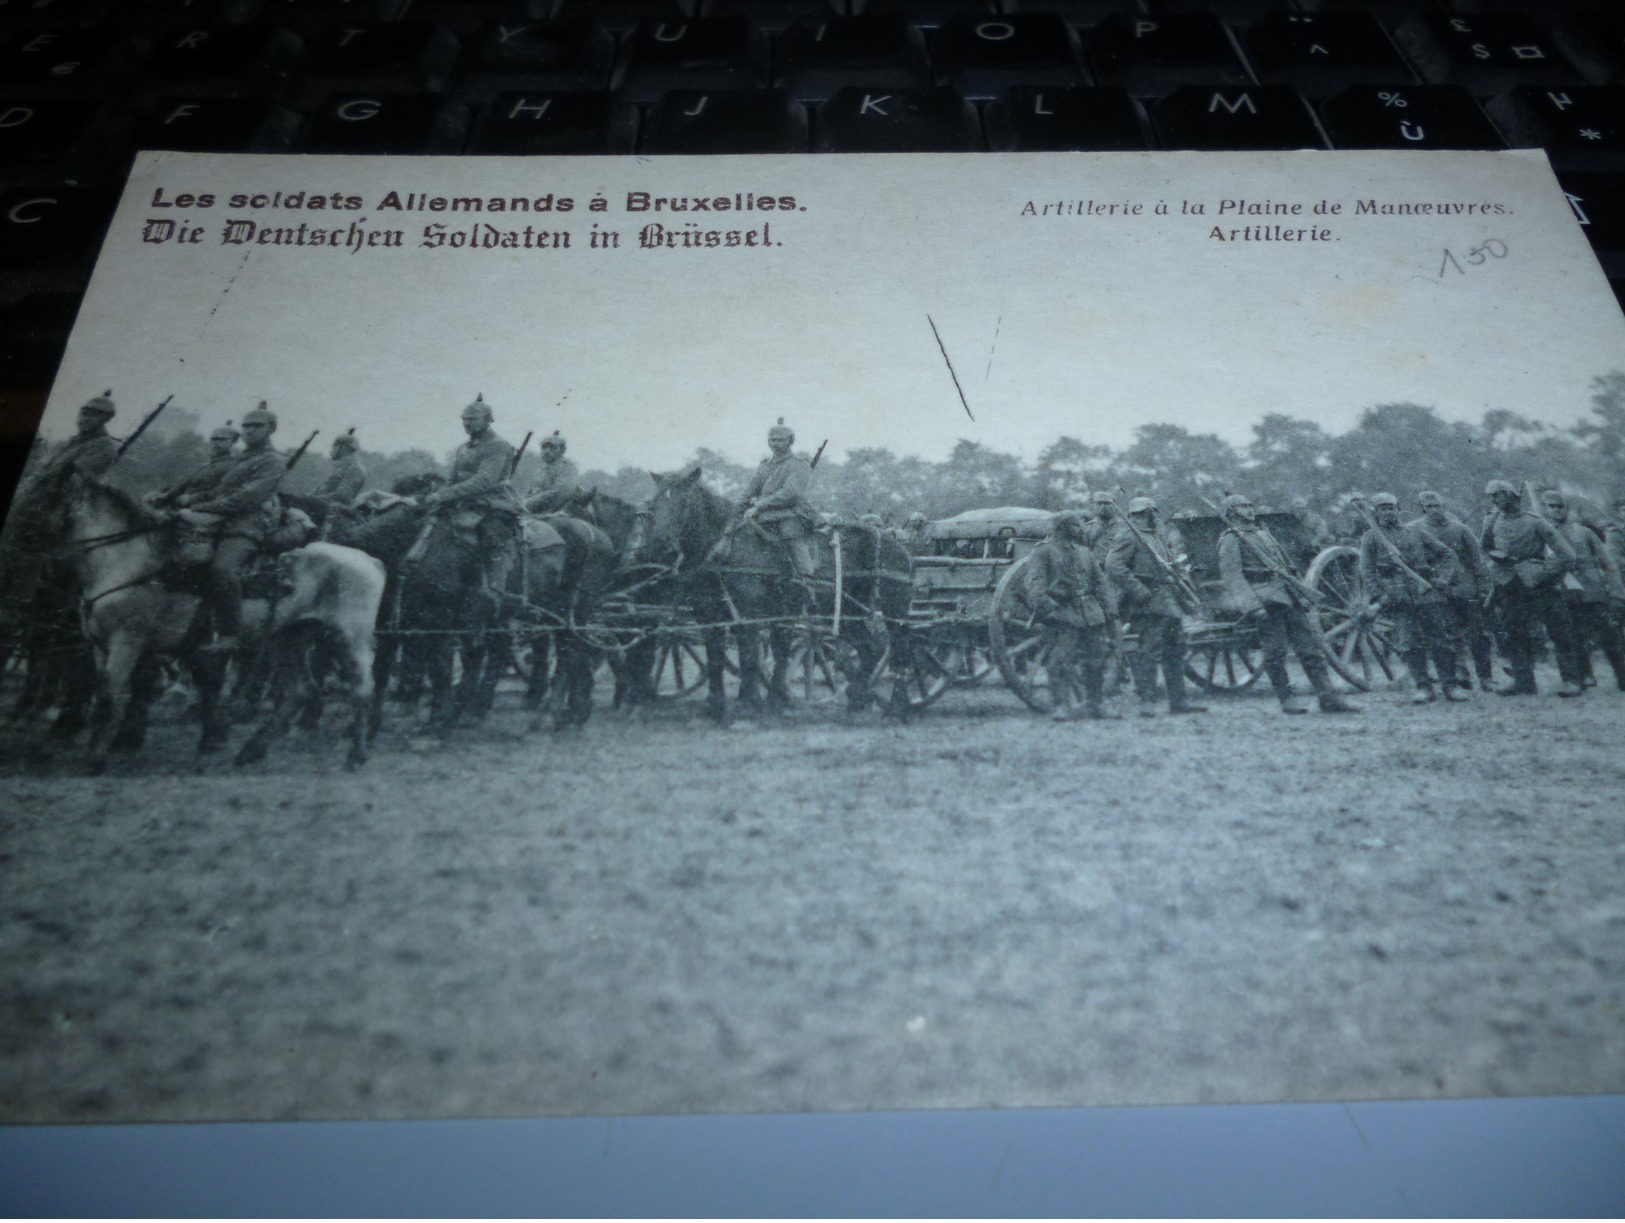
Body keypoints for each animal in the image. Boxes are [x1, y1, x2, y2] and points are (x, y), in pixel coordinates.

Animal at [630, 464, 923, 714]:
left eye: (684, 502)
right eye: (655, 504)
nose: (659, 548)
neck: (726, 548)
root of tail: (901, 548)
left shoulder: (748, 615)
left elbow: (750, 656)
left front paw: (753, 703)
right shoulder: (709, 614)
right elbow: (716, 656)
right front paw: (718, 705)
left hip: (893, 610)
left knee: (901, 648)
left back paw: (897, 704)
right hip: (847, 609)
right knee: (871, 647)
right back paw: (858, 699)